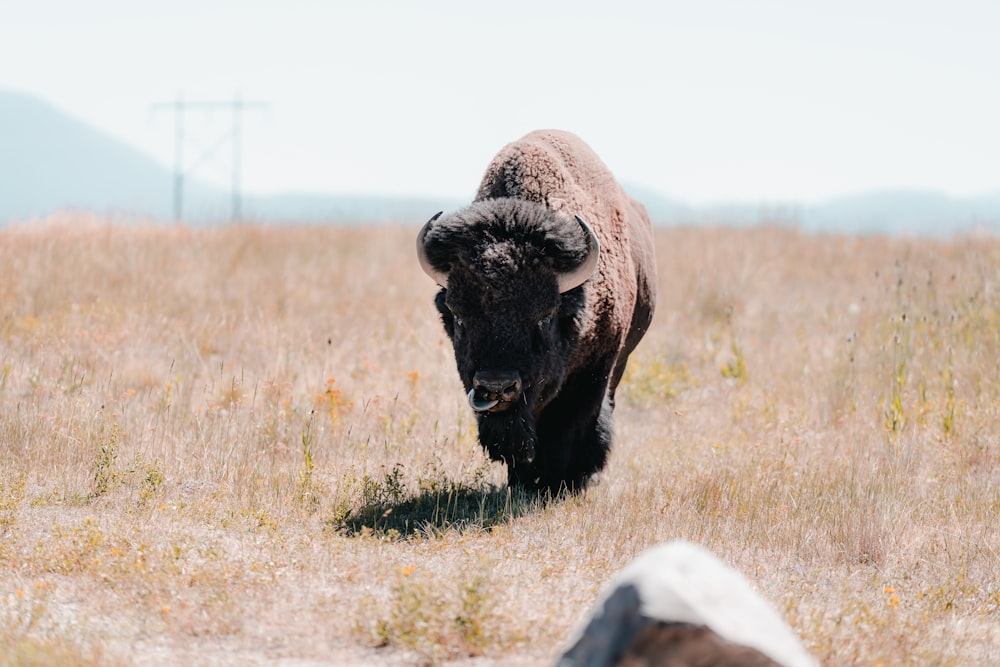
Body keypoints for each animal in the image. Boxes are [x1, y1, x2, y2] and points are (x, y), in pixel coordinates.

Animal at [416, 130, 656, 494]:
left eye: (545, 317)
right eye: (458, 317)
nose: (497, 387)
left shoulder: (597, 370)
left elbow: (572, 425)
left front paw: (561, 482)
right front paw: (525, 481)